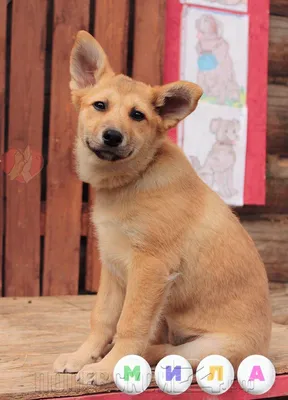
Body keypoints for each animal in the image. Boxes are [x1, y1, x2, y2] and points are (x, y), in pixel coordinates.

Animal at [53, 29, 272, 386]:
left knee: (168, 351)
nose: (112, 136)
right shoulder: (113, 266)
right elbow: (102, 317)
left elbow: (129, 323)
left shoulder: (151, 267)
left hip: (208, 347)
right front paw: (82, 356)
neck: (131, 180)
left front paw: (105, 367)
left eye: (137, 115)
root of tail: (264, 349)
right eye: (100, 105)